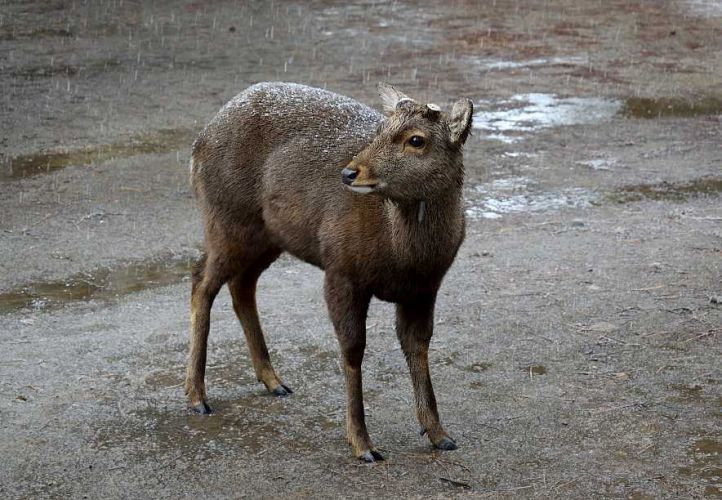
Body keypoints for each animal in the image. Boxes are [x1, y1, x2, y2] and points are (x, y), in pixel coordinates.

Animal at [184, 81, 472, 460]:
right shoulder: (341, 270)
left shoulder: (425, 288)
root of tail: (199, 142)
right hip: (226, 219)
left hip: (267, 237)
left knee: (241, 285)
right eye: (380, 130)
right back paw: (197, 396)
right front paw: (363, 444)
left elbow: (418, 346)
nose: (350, 172)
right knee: (201, 281)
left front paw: (440, 434)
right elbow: (353, 349)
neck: (404, 257)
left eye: (416, 139)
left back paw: (274, 381)